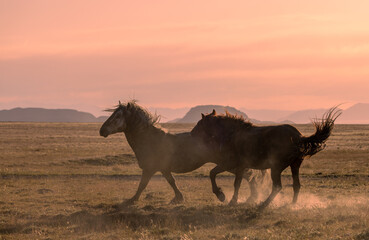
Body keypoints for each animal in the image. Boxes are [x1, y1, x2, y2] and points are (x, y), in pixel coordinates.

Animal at [99, 100, 268, 205]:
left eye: (117, 115)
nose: (102, 130)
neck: (149, 140)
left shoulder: (150, 168)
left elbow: (142, 185)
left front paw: (132, 200)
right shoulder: (163, 169)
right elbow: (171, 181)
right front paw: (178, 198)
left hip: (228, 164)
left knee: (249, 176)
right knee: (248, 176)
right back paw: (251, 198)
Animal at [191, 107, 340, 208]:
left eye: (199, 124)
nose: (192, 134)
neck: (232, 134)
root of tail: (298, 136)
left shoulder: (231, 164)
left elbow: (216, 175)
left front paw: (223, 196)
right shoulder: (239, 166)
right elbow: (233, 181)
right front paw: (228, 198)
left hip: (276, 168)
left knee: (277, 187)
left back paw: (263, 204)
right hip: (294, 166)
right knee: (296, 185)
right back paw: (291, 204)